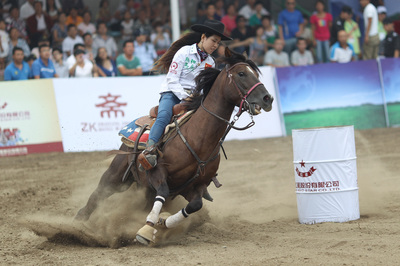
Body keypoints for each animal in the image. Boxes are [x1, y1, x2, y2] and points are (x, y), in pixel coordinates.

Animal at [74, 48, 274, 245]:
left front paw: (162, 222)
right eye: (241, 73)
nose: (268, 98)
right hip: (116, 176)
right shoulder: (158, 173)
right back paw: (78, 224)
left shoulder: (194, 187)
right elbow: (162, 192)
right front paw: (147, 228)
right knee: (96, 197)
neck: (198, 138)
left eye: (256, 73)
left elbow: (195, 205)